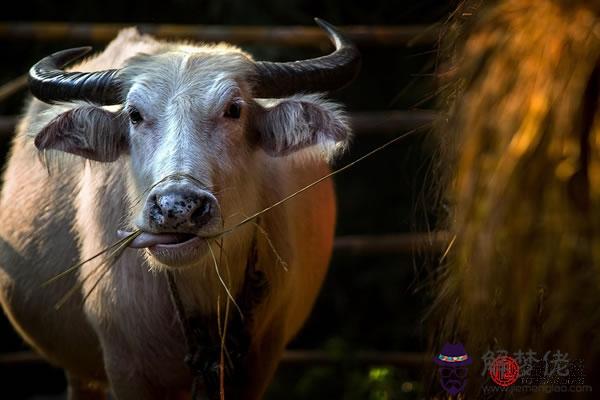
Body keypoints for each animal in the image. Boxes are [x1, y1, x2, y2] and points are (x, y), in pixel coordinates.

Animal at [0, 19, 358, 400]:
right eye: (134, 115)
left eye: (234, 109)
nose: (177, 207)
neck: (202, 289)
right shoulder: (127, 369)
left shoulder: (258, 365)